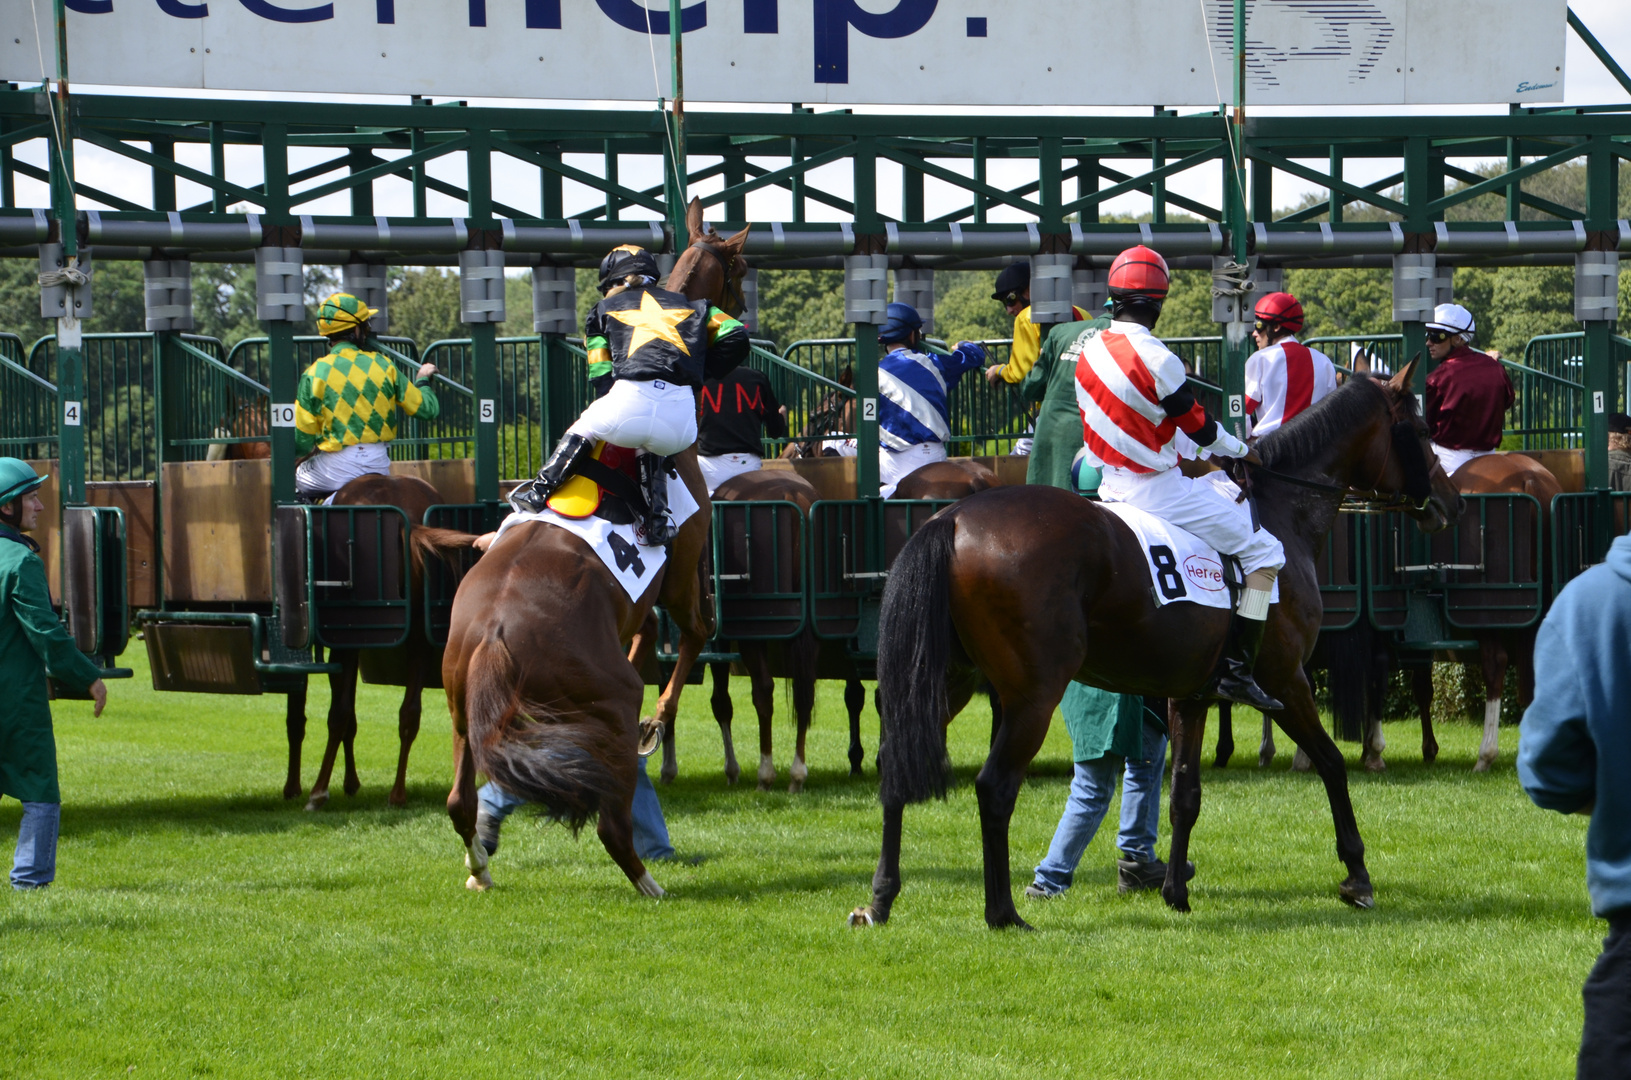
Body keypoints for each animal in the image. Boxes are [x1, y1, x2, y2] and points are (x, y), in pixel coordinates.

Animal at [283, 476, 476, 812]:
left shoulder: (334, 643)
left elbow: (307, 714)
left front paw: (294, 787)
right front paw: (351, 783)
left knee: (338, 714)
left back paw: (318, 792)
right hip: (419, 633)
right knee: (409, 713)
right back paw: (397, 794)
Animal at [854, 363, 1467, 933]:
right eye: (1418, 429)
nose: (1450, 502)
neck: (1279, 508)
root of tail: (956, 517)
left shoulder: (1189, 695)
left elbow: (1183, 793)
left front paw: (1175, 891)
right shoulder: (1285, 679)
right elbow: (1332, 764)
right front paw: (1357, 876)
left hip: (945, 682)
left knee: (895, 767)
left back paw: (881, 899)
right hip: (1033, 696)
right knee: (995, 787)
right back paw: (1002, 912)